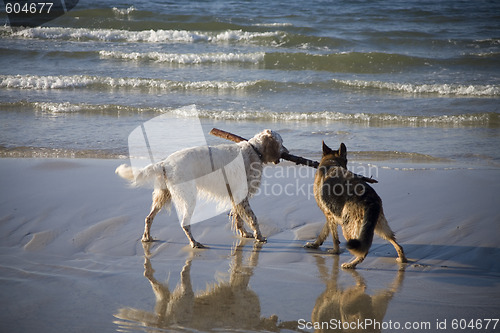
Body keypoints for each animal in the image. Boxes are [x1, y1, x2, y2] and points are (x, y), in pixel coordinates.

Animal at [115, 128, 288, 248]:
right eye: (281, 142)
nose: (288, 152)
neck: (253, 150)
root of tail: (165, 163)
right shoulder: (241, 194)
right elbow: (253, 218)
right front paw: (260, 236)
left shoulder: (236, 196)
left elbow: (239, 218)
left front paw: (245, 234)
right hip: (188, 197)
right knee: (184, 223)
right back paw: (194, 243)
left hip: (163, 196)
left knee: (149, 217)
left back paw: (147, 237)